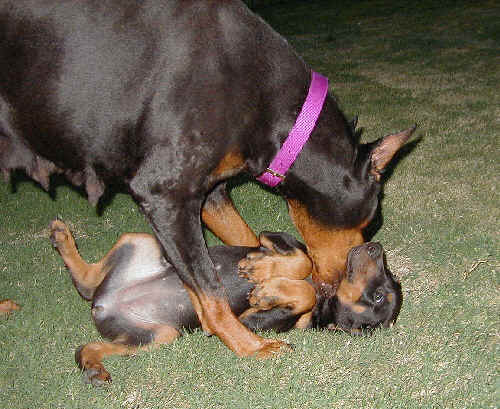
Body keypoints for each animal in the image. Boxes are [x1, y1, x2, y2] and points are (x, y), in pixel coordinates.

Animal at [0, 0, 414, 356]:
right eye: (371, 219)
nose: (373, 248)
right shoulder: (165, 195)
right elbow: (213, 293)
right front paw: (252, 346)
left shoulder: (211, 193)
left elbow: (250, 244)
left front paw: (264, 271)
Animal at [49, 218, 402, 384]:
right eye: (387, 281)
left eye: (379, 295)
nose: (376, 247)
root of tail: (104, 305)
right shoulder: (274, 239)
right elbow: (302, 262)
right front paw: (262, 271)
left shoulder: (252, 321)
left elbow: (302, 293)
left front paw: (267, 291)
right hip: (142, 241)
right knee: (87, 282)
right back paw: (62, 237)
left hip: (157, 335)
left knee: (87, 336)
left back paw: (94, 368)